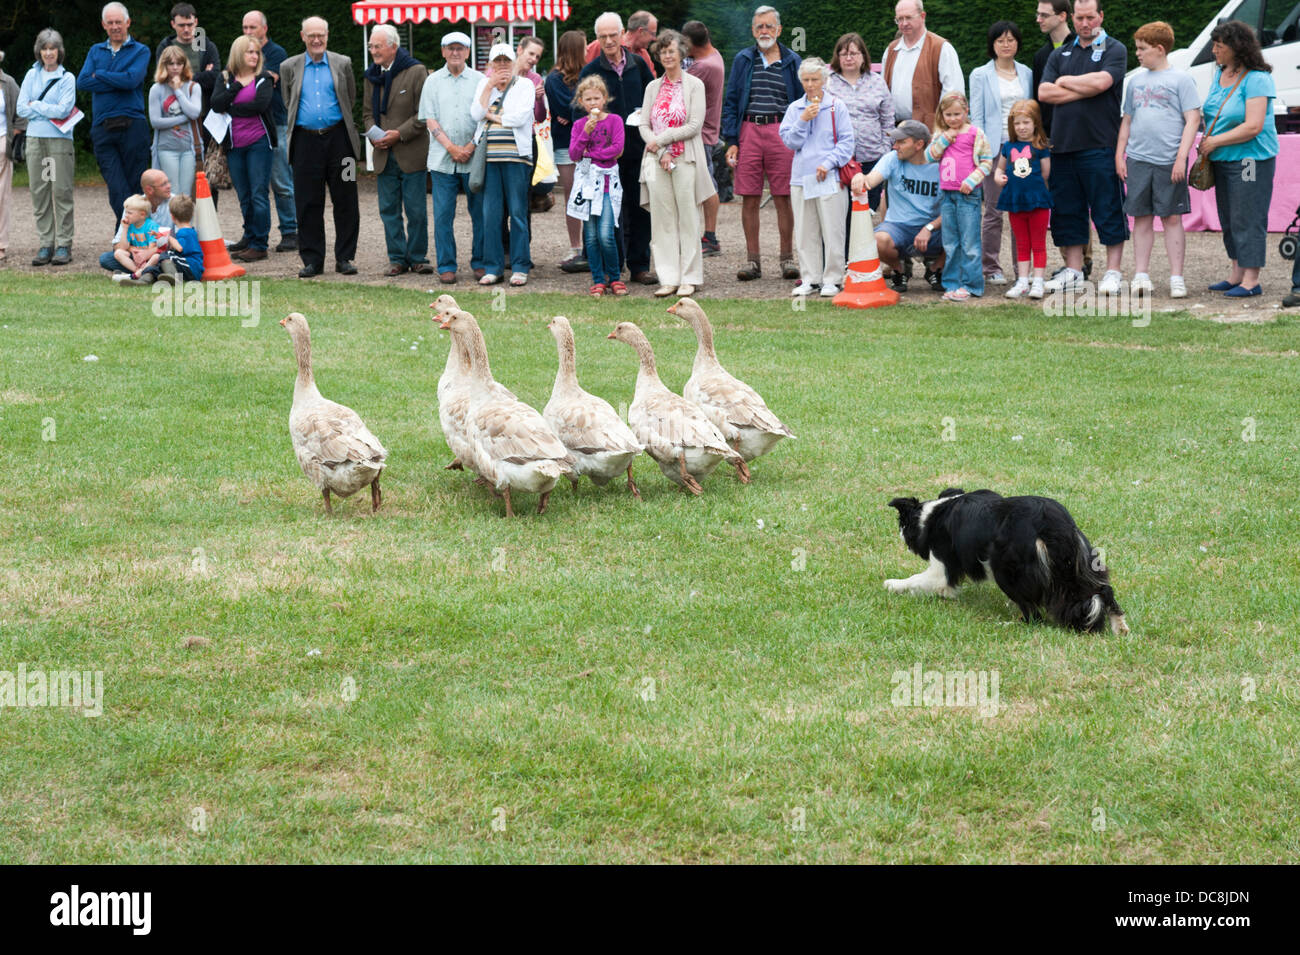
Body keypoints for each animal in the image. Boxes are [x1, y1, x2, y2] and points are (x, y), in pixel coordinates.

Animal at [883, 493, 1128, 634]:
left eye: (902, 527)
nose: (900, 536)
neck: (930, 516)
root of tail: (1052, 523)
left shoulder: (940, 567)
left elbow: (917, 579)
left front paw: (892, 584)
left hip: (1005, 566)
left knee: (1034, 616)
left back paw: (1010, 624)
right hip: (1079, 562)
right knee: (1103, 590)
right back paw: (1120, 627)